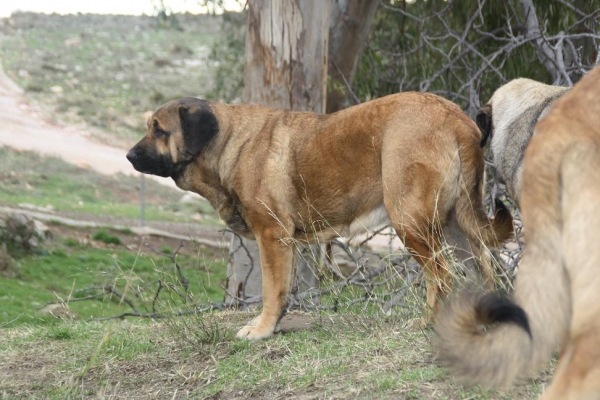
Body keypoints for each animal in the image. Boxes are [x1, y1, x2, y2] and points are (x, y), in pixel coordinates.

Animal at [126, 94, 510, 340]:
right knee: (484, 271)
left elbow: (271, 290)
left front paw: (261, 330)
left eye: (159, 129)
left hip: (412, 223)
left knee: (441, 277)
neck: (228, 143)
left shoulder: (272, 236)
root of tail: (458, 119)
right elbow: (283, 290)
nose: (129, 155)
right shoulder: (287, 244)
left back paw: (428, 323)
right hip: (457, 228)